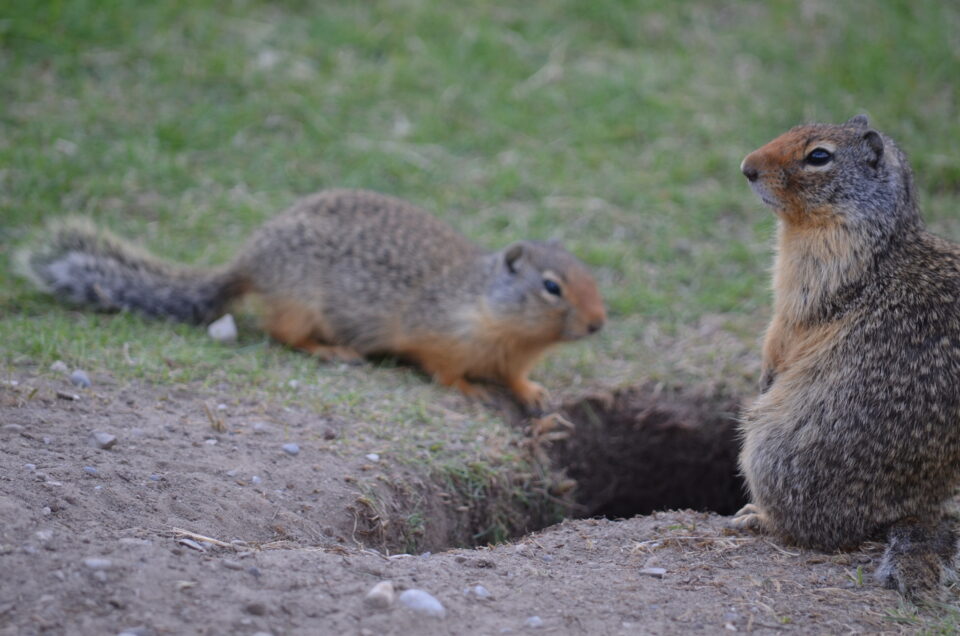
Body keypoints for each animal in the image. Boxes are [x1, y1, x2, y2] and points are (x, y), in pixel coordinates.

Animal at [17, 188, 606, 409]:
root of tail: (248, 261)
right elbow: (442, 369)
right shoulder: (442, 333)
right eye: (552, 286)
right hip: (301, 305)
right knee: (284, 335)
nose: (600, 323)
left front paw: (534, 394)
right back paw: (333, 351)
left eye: (592, 274)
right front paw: (471, 389)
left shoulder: (512, 355)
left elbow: (516, 378)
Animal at [733, 115, 960, 601]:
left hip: (771, 452)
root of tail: (914, 509)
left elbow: (785, 329)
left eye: (819, 156)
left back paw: (757, 518)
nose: (747, 168)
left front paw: (768, 376)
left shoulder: (813, 273)